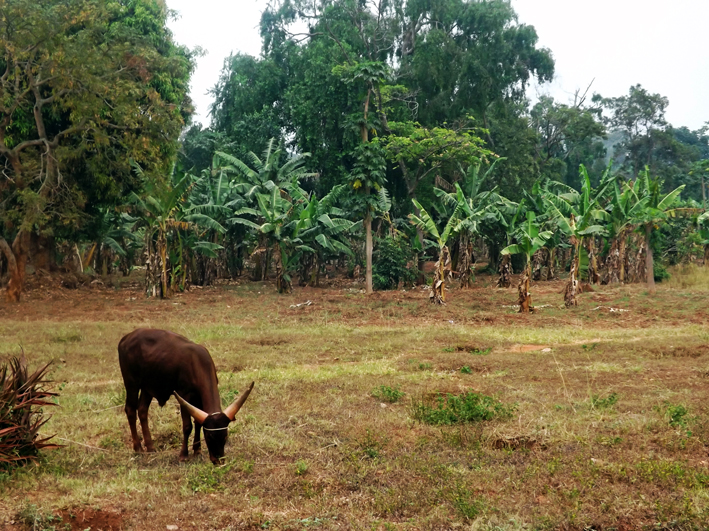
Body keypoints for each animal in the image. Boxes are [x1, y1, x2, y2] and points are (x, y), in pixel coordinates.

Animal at [115, 328, 250, 466]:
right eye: (209, 436)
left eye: (225, 436)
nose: (218, 460)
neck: (198, 363)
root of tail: (127, 337)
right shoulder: (185, 396)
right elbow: (187, 426)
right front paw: (183, 455)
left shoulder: (198, 400)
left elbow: (198, 423)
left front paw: (197, 450)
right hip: (131, 383)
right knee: (130, 410)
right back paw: (138, 448)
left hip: (147, 387)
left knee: (142, 410)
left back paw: (151, 447)